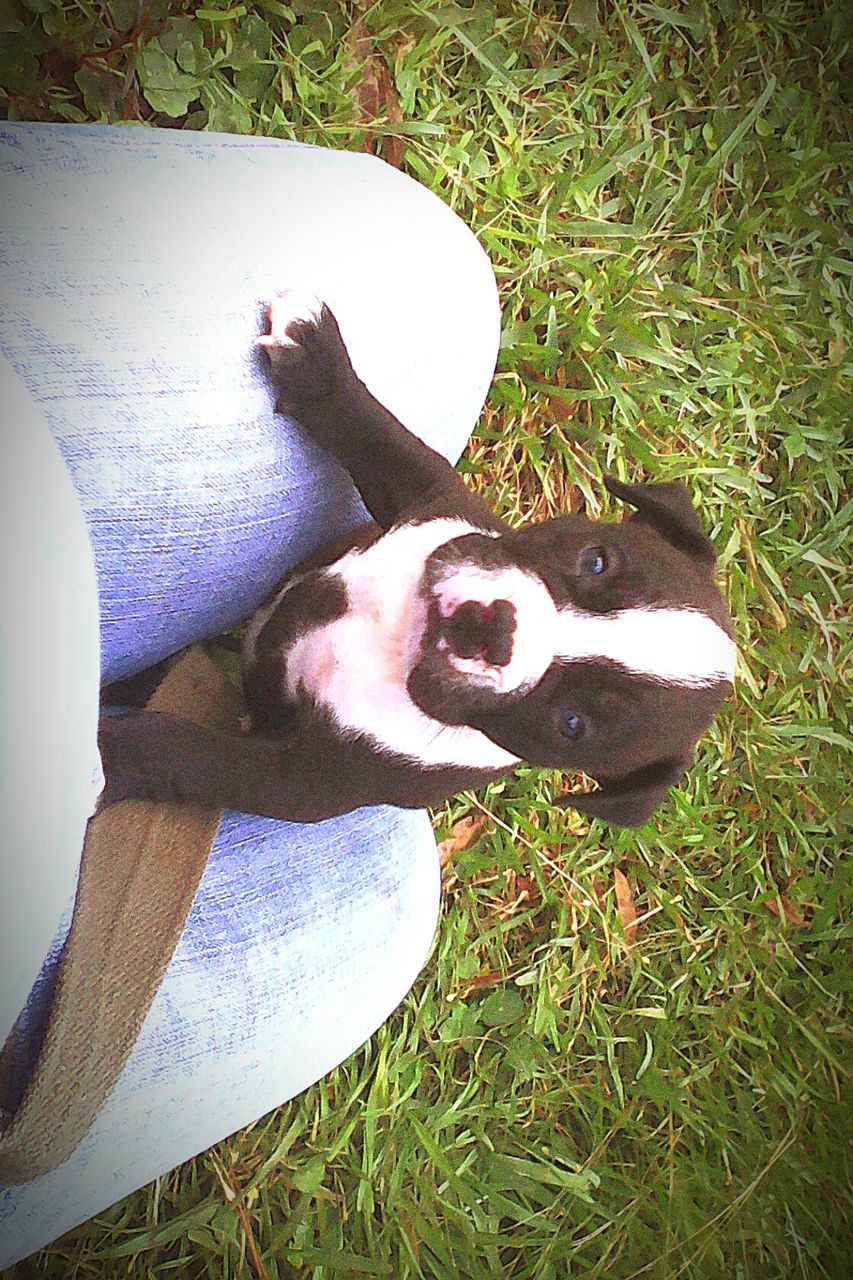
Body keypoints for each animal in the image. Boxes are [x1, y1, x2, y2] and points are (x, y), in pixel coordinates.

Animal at [96, 291, 732, 829]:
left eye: (571, 725)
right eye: (596, 560)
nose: (494, 629)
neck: (402, 636)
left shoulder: (304, 780)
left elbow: (184, 751)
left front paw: (104, 758)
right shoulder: (431, 495)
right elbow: (376, 434)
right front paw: (316, 355)